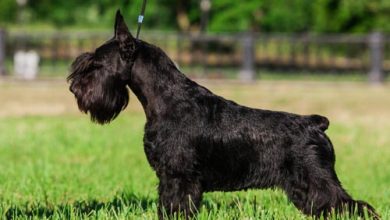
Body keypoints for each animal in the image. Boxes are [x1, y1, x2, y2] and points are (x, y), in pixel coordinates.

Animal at [68, 10, 380, 220]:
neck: (166, 99)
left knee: (353, 206)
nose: (74, 88)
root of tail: (315, 124)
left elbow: (176, 207)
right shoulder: (171, 179)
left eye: (96, 64)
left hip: (317, 180)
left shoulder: (180, 177)